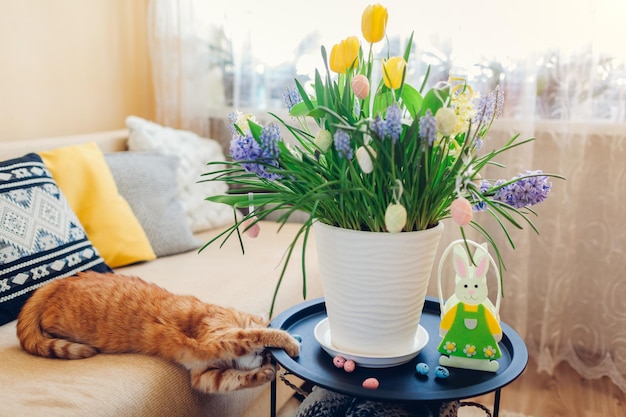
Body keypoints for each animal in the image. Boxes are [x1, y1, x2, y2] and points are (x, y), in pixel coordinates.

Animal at [14, 272, 298, 392]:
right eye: (270, 353)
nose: (268, 358)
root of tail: (57, 281)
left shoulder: (203, 375)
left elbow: (234, 379)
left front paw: (264, 375)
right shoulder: (218, 337)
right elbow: (257, 334)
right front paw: (289, 342)